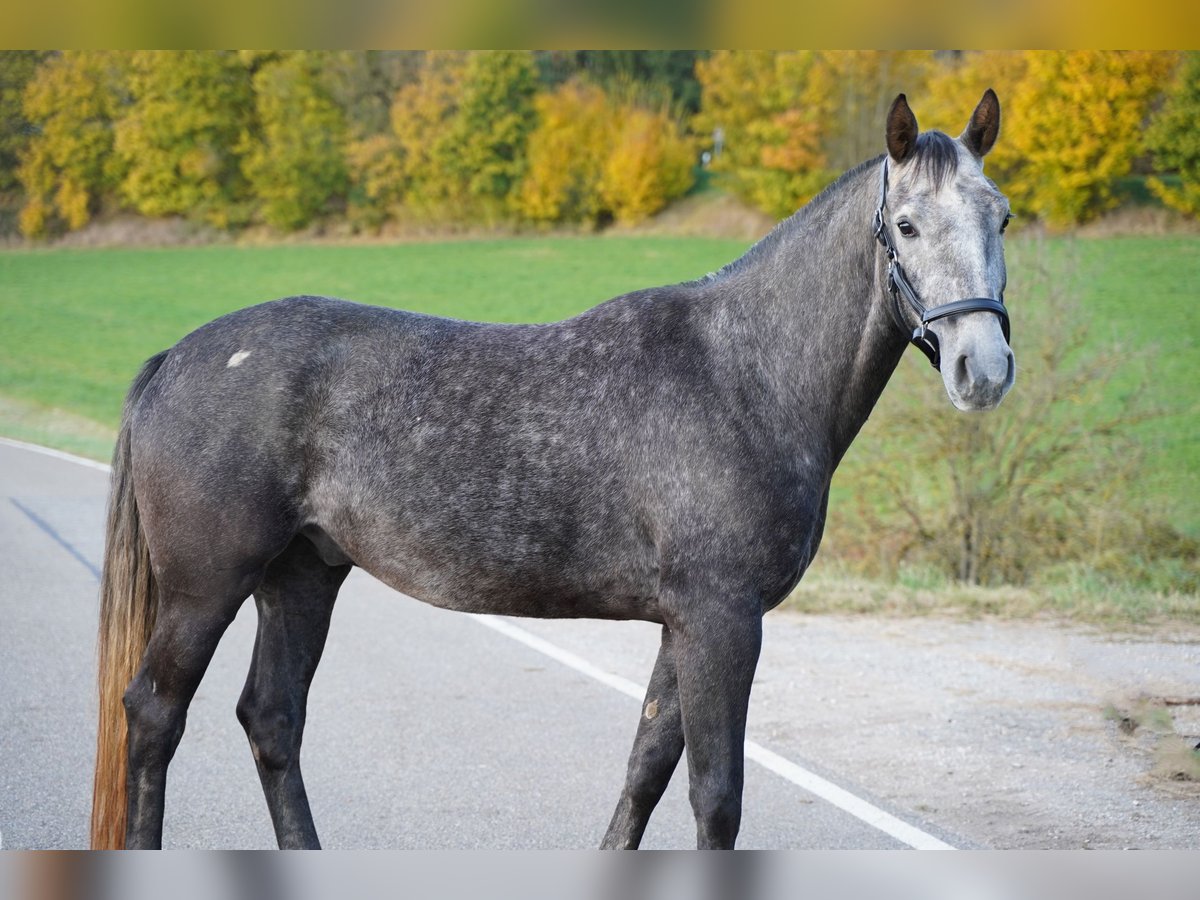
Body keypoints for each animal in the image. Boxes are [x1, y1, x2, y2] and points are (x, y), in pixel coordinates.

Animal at [90, 91, 1014, 850]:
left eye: (1000, 218)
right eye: (906, 226)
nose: (984, 368)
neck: (744, 370)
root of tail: (177, 357)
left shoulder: (687, 623)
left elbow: (645, 771)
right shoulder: (722, 619)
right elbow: (715, 798)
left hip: (303, 576)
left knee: (272, 720)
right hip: (206, 588)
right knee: (155, 715)